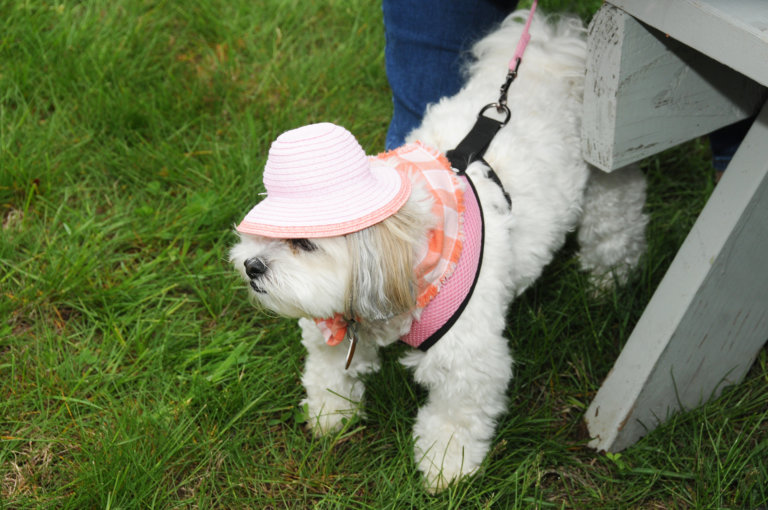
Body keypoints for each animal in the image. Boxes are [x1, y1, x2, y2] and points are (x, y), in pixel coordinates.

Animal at [230, 10, 648, 490]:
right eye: (266, 232)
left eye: (303, 242)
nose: (251, 265)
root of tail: (552, 53)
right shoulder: (335, 328)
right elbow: (329, 370)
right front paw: (329, 415)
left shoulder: (467, 359)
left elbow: (454, 417)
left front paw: (446, 467)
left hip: (609, 184)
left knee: (615, 228)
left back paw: (607, 284)